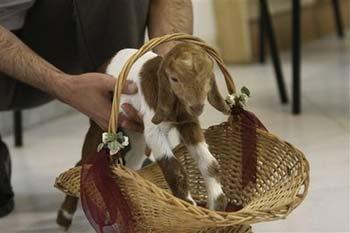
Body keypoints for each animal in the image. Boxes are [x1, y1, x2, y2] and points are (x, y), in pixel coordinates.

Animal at [57, 43, 231, 229]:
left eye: (208, 77)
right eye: (174, 79)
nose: (197, 107)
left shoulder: (188, 123)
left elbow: (210, 163)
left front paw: (216, 205)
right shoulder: (154, 131)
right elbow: (174, 169)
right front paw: (188, 207)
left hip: (135, 138)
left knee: (130, 163)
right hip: (100, 124)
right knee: (84, 162)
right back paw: (64, 217)